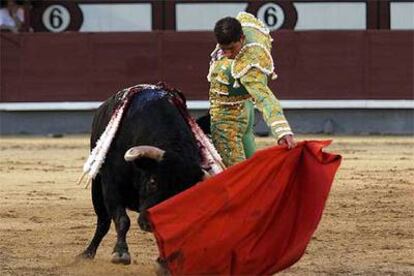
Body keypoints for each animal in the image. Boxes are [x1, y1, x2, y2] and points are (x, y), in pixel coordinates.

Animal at [78, 84, 207, 266]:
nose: (149, 223)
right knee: (103, 221)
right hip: (97, 184)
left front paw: (164, 262)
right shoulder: (111, 185)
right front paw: (120, 253)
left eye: (182, 194)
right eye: (153, 182)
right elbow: (122, 220)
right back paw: (87, 253)